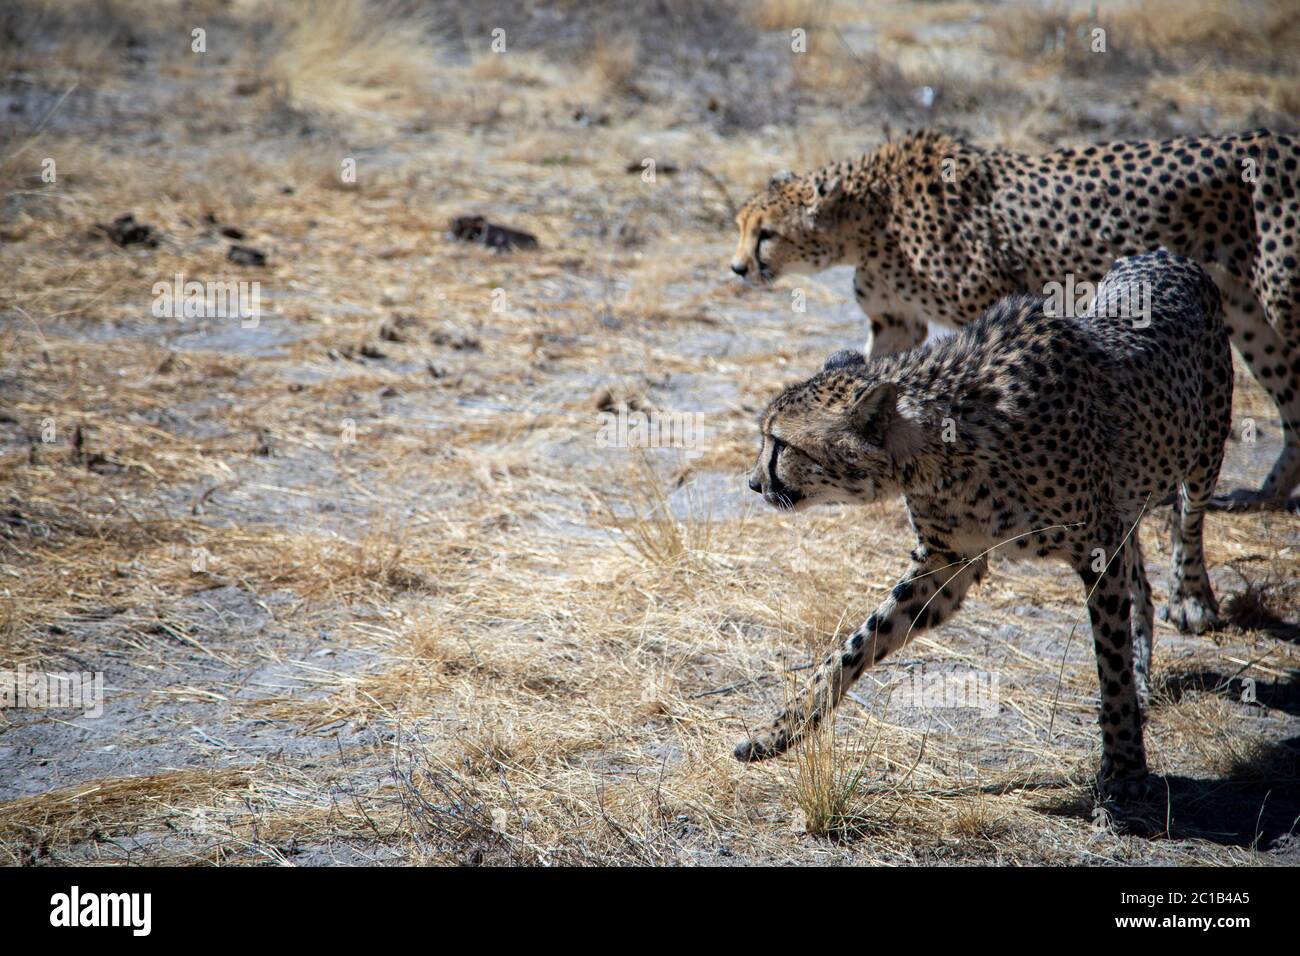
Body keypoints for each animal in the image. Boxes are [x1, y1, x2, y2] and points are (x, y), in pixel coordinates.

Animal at [733, 132, 1300, 515]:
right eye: (739, 226)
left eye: (766, 233)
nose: (737, 268)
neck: (870, 215)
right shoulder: (896, 321)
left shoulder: (987, 308)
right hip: (1246, 313)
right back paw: (1266, 495)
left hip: (1280, 302)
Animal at [738, 248, 1232, 801]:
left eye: (780, 444)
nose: (753, 483)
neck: (941, 441)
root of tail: (1163, 253)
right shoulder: (949, 561)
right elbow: (858, 643)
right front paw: (782, 729)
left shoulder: (1094, 549)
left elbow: (1110, 661)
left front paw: (1124, 767)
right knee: (1141, 575)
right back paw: (1147, 676)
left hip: (1203, 452)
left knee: (1187, 524)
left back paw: (1191, 600)